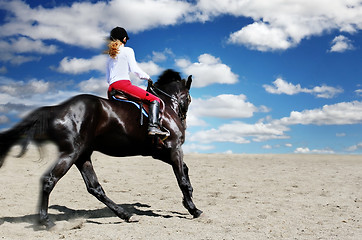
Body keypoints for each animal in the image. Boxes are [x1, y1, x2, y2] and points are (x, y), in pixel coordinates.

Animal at [0, 69, 202, 227]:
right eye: (189, 98)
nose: (183, 121)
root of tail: (56, 108)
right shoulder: (174, 148)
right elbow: (181, 179)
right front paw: (193, 209)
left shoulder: (159, 152)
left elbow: (184, 171)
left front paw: (188, 201)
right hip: (71, 153)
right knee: (50, 180)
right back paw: (46, 221)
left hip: (82, 155)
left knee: (94, 187)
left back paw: (125, 215)